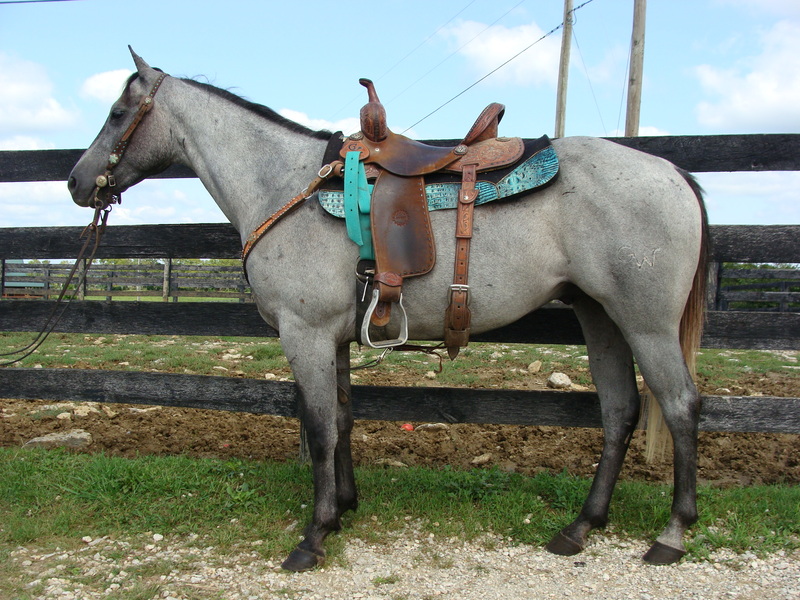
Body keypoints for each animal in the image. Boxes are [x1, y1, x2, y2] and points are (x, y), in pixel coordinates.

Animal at [68, 49, 709, 572]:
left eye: (118, 113)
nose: (77, 182)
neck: (284, 185)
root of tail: (673, 172)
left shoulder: (304, 335)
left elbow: (319, 428)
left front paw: (314, 536)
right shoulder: (332, 338)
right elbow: (343, 420)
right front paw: (344, 509)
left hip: (646, 323)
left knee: (679, 405)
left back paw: (672, 534)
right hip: (600, 316)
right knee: (620, 412)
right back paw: (580, 527)